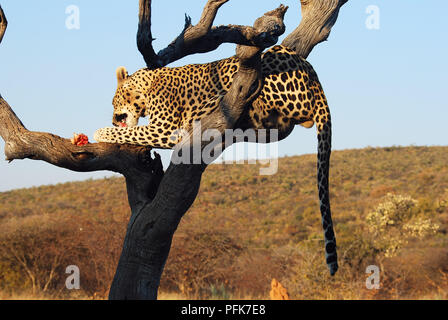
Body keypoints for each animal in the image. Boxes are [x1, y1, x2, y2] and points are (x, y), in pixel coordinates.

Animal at [95, 45, 340, 276]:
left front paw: (101, 132)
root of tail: (315, 80)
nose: (114, 119)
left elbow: (130, 132)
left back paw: (213, 101)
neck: (148, 84)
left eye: (113, 102)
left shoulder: (165, 128)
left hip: (271, 62)